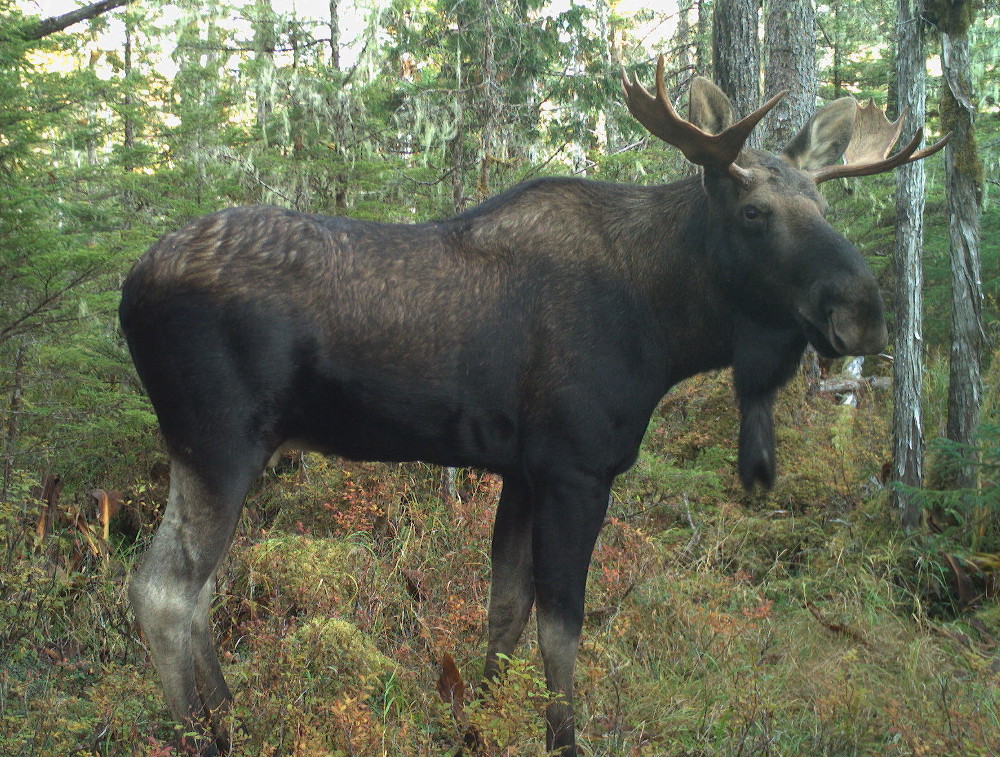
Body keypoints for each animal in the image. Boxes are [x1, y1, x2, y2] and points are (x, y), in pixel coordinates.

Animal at [119, 58, 947, 755]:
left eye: (822, 201)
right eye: (752, 211)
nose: (863, 313)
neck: (666, 323)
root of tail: (128, 287)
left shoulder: (520, 469)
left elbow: (505, 611)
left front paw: (477, 726)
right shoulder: (575, 467)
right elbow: (562, 628)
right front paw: (563, 739)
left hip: (211, 449)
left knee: (197, 590)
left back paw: (226, 716)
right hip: (219, 440)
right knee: (164, 589)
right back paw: (208, 734)